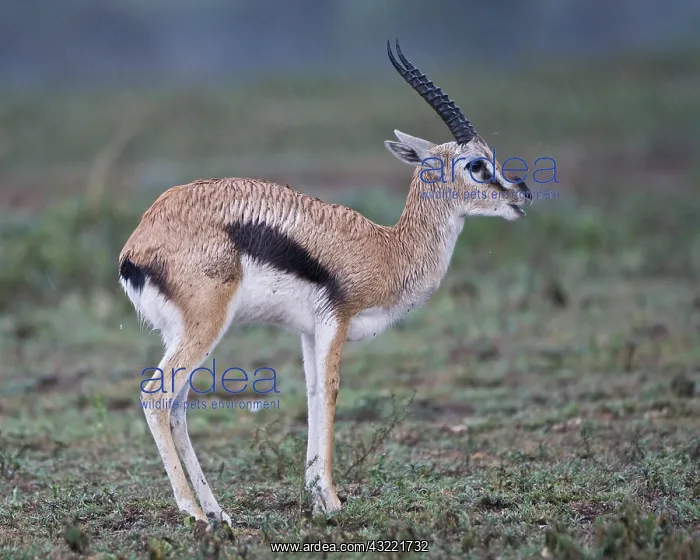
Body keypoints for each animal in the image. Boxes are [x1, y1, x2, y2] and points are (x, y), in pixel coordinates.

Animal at [118, 39, 531, 527]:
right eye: (477, 165)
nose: (522, 193)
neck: (388, 250)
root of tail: (138, 244)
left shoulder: (308, 331)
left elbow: (314, 396)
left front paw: (316, 497)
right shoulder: (337, 319)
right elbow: (331, 393)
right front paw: (332, 501)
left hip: (178, 333)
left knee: (177, 406)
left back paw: (218, 513)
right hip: (206, 326)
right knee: (156, 396)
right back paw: (194, 513)